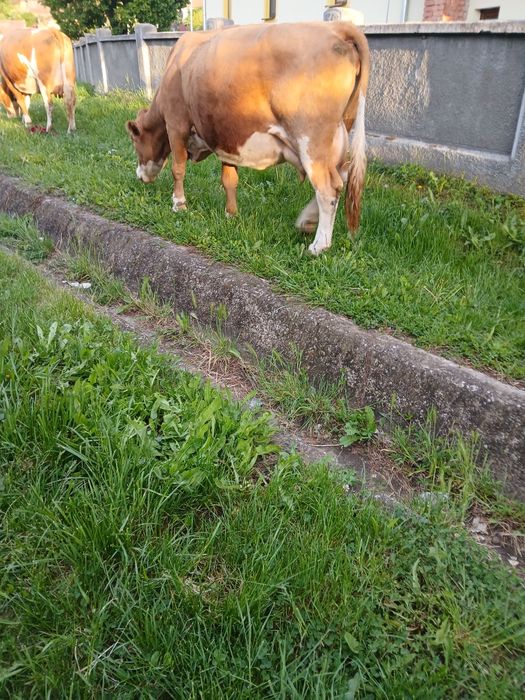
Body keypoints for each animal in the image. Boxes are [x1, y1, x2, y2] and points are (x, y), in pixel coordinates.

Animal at [127, 22, 369, 255]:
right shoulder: (226, 137)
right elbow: (229, 179)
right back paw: (308, 221)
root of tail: (337, 27)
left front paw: (179, 205)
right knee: (342, 175)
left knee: (328, 188)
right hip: (338, 134)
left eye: (135, 142)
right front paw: (231, 214)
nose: (139, 176)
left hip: (311, 139)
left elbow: (178, 168)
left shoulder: (176, 123)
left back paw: (319, 245)